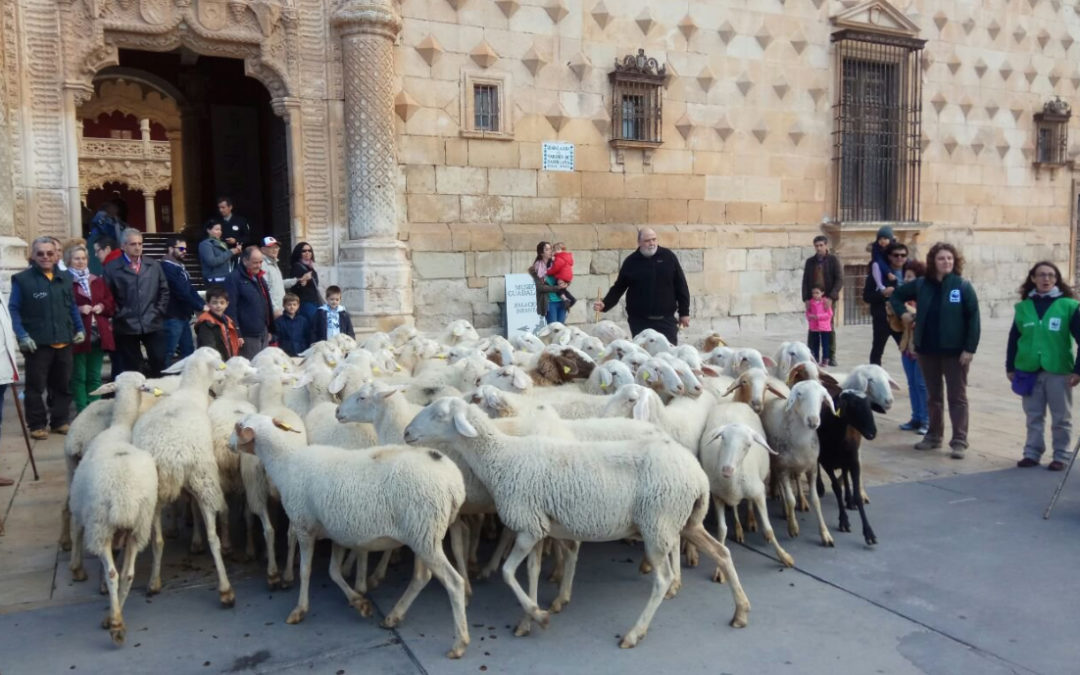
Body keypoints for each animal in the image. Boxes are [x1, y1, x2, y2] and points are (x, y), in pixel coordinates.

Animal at [68, 371, 157, 643]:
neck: (119, 429)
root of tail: (124, 500)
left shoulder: (80, 505)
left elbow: (76, 530)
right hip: (139, 528)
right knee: (127, 574)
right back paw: (114, 618)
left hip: (100, 527)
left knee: (113, 573)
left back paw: (115, 622)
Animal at [232, 412, 468, 656]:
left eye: (238, 427)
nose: (230, 445)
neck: (285, 463)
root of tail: (455, 485)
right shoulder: (337, 532)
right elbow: (334, 572)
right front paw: (359, 602)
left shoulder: (304, 526)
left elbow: (306, 571)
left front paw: (299, 609)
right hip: (423, 533)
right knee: (421, 577)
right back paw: (393, 616)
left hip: (425, 534)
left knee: (454, 582)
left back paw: (459, 643)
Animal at [401, 397, 747, 643]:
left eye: (439, 414)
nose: (406, 433)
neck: (501, 457)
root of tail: (698, 476)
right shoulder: (537, 528)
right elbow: (531, 573)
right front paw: (528, 618)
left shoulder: (527, 526)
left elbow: (509, 573)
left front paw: (538, 616)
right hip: (687, 520)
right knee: (723, 552)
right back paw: (741, 611)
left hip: (657, 523)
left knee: (662, 579)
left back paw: (634, 633)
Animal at [816, 388, 876, 542]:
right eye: (853, 406)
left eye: (869, 406)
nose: (872, 433)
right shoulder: (826, 462)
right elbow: (836, 488)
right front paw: (844, 521)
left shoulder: (854, 461)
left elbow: (857, 495)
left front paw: (869, 533)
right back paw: (820, 487)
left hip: (846, 459)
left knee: (844, 472)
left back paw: (849, 500)